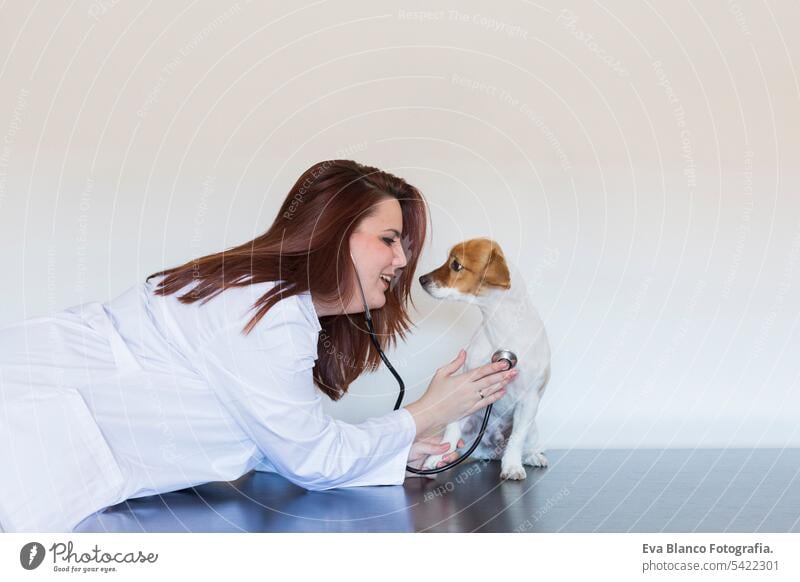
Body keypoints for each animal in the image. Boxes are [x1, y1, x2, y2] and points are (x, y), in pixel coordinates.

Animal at [418, 240, 552, 482]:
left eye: (456, 265)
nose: (422, 279)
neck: (501, 326)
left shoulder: (529, 399)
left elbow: (516, 439)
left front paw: (512, 466)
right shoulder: (465, 389)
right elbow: (450, 434)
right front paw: (434, 458)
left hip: (532, 428)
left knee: (526, 444)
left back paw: (532, 457)